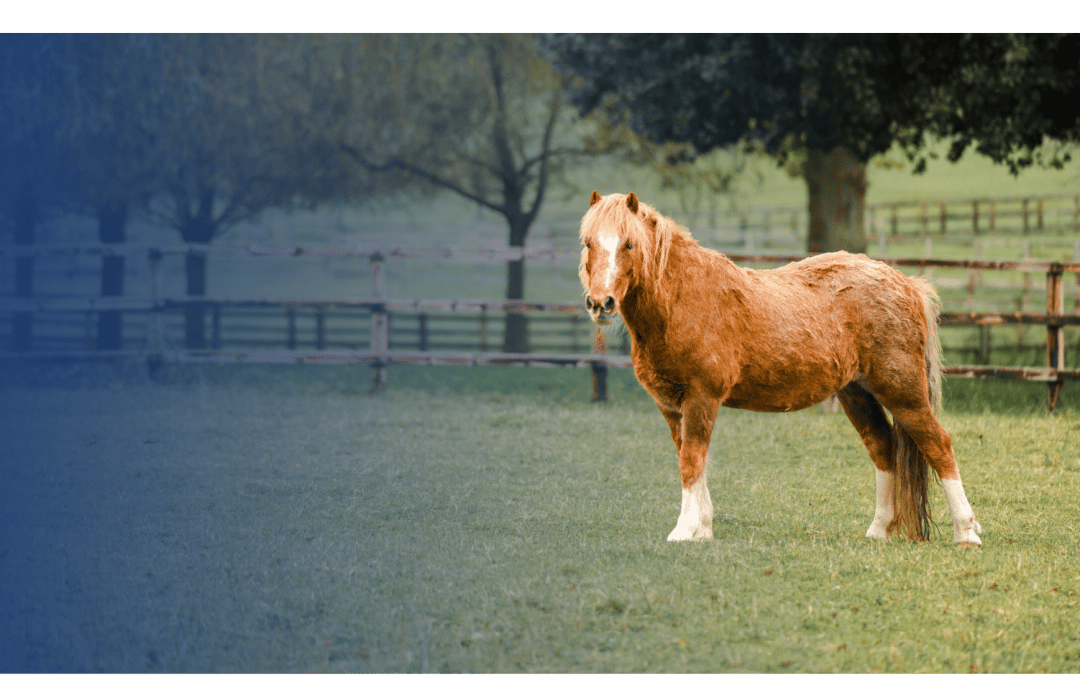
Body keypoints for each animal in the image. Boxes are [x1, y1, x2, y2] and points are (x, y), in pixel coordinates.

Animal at [579, 191, 982, 546]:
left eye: (629, 244)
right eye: (588, 243)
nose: (601, 303)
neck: (682, 299)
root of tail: (907, 284)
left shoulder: (701, 398)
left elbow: (691, 462)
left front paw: (685, 531)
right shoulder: (671, 407)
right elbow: (692, 461)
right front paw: (703, 529)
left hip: (903, 392)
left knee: (938, 445)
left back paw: (967, 532)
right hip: (856, 393)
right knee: (882, 447)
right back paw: (879, 530)